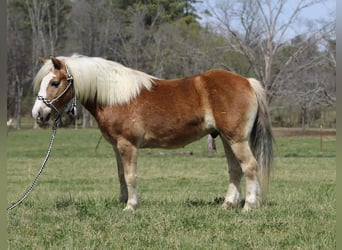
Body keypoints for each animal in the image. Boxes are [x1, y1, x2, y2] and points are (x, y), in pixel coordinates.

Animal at [31, 54, 272, 211]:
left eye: (55, 82)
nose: (38, 114)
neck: (115, 96)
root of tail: (247, 82)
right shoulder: (117, 146)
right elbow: (121, 174)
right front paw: (123, 200)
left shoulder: (127, 144)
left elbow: (130, 175)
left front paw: (131, 206)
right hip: (226, 138)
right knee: (235, 170)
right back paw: (228, 204)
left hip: (236, 139)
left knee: (250, 166)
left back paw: (249, 206)